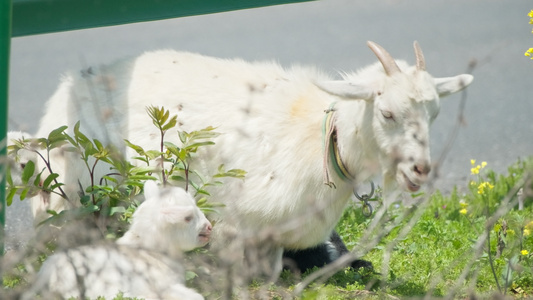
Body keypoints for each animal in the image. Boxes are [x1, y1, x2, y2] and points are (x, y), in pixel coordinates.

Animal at [22, 180, 211, 300]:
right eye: (187, 218)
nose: (209, 227)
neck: (151, 252)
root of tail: (48, 278)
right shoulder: (162, 285)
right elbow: (196, 296)